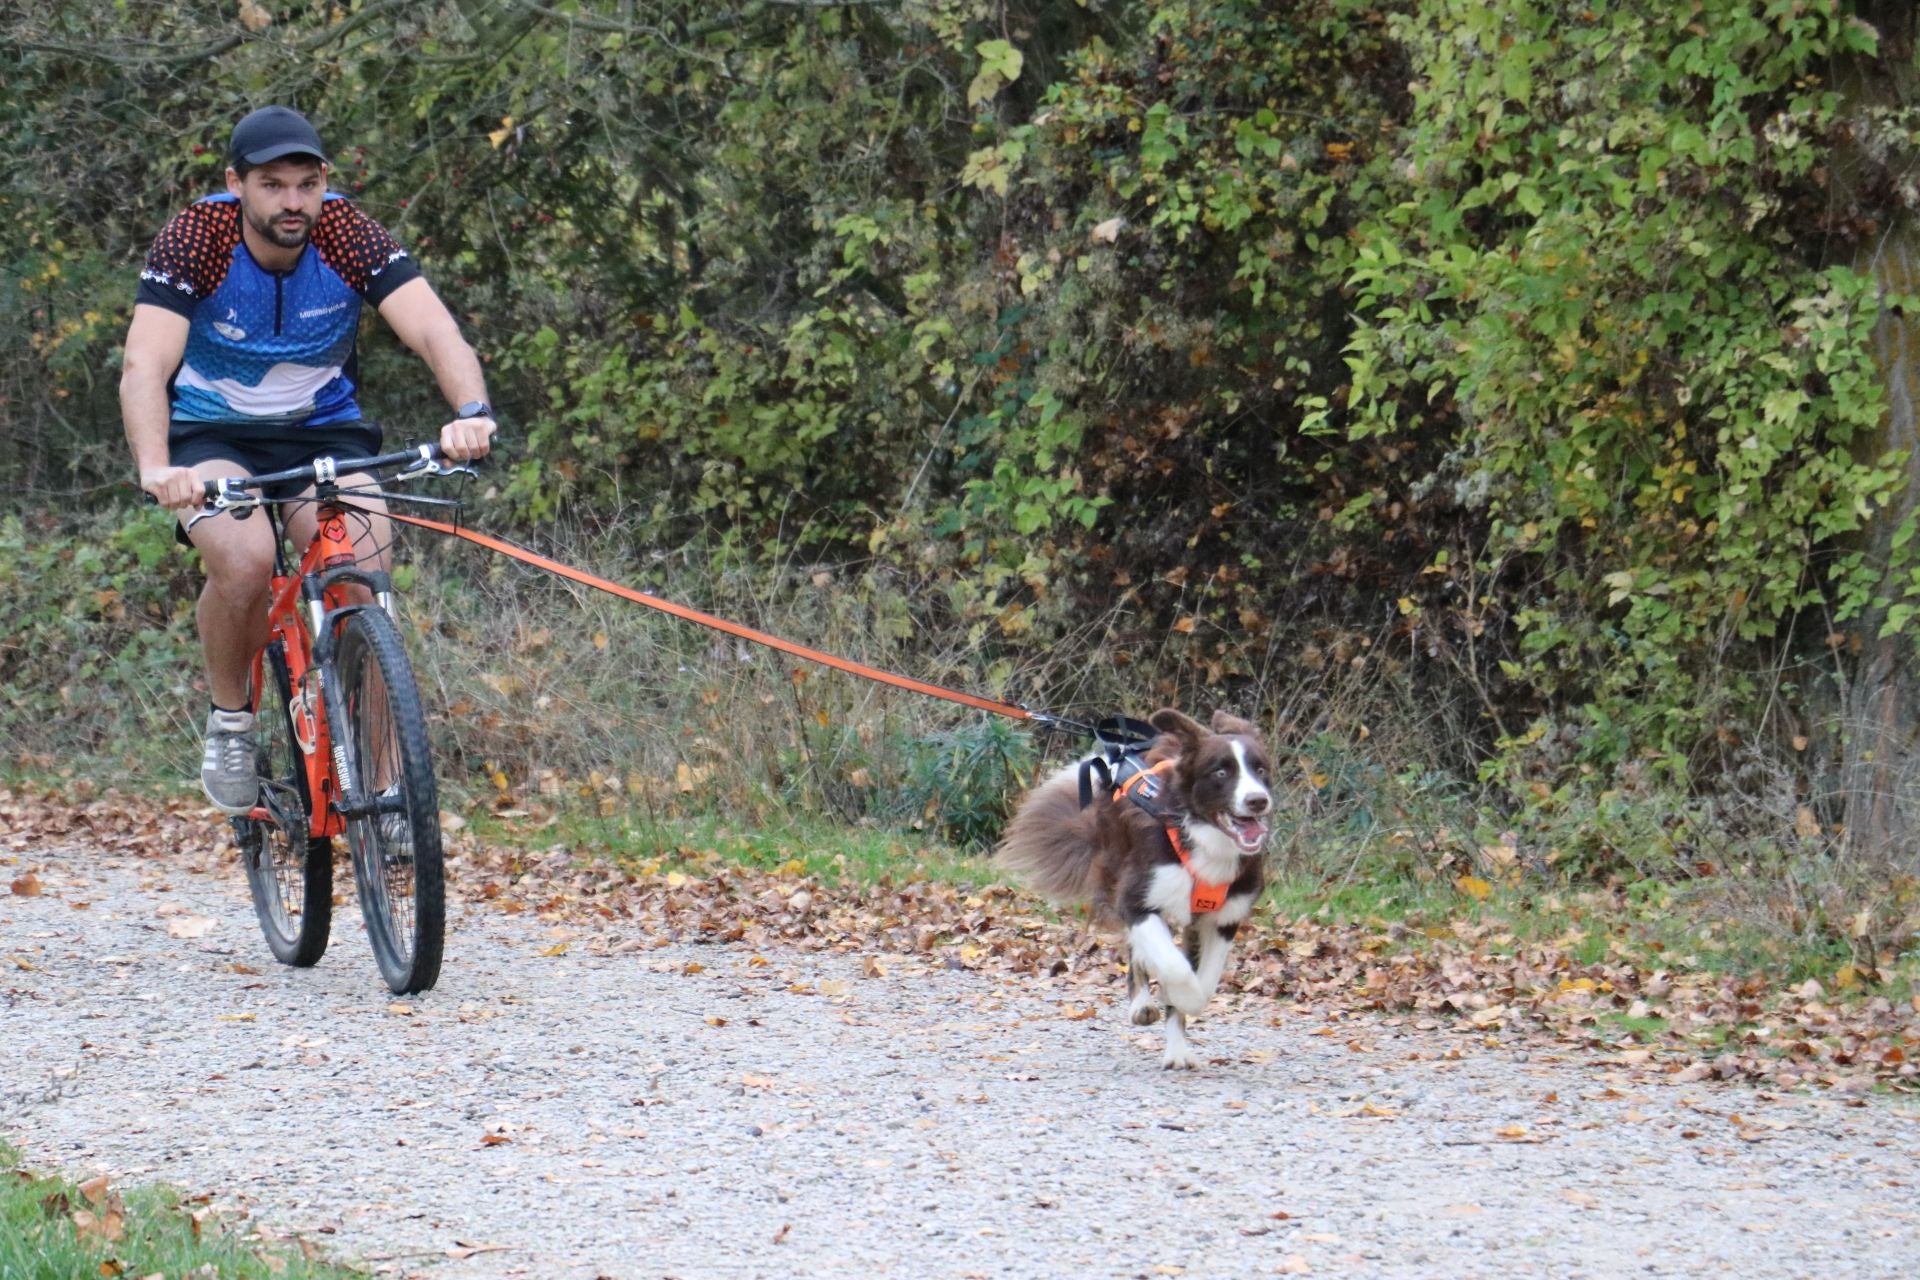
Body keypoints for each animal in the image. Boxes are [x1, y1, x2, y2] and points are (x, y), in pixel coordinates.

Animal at [990, 710, 1274, 1074]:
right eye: (1221, 771)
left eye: (1261, 769)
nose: (1258, 800)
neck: (1205, 843)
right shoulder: (1137, 898)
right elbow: (1175, 968)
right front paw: (1174, 994)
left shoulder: (1223, 918)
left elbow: (1205, 982)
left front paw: (1182, 1018)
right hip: (1117, 873)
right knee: (1138, 947)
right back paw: (1142, 1003)